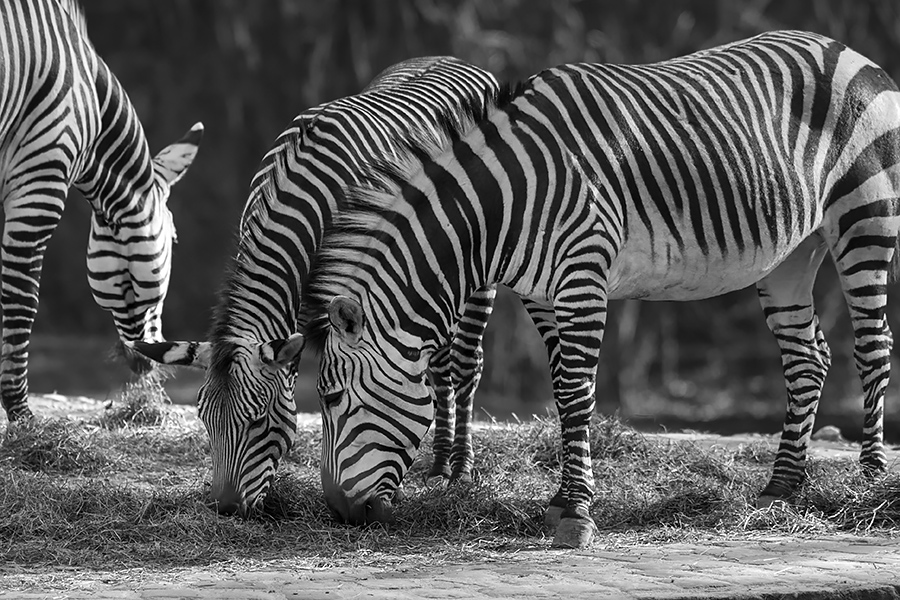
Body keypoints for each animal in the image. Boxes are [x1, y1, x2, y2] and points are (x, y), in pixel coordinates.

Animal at [127, 57, 504, 515]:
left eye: (259, 421)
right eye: (204, 421)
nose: (226, 508)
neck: (297, 200)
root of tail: (452, 60)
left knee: (466, 363)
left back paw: (458, 470)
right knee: (438, 364)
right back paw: (437, 466)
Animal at [299, 30, 900, 548]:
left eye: (331, 398)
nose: (339, 513)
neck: (507, 203)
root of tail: (845, 48)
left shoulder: (583, 277)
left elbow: (575, 393)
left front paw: (576, 512)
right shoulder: (541, 295)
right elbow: (562, 394)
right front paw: (561, 502)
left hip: (865, 216)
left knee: (872, 348)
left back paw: (870, 482)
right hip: (792, 253)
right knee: (808, 360)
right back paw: (783, 487)